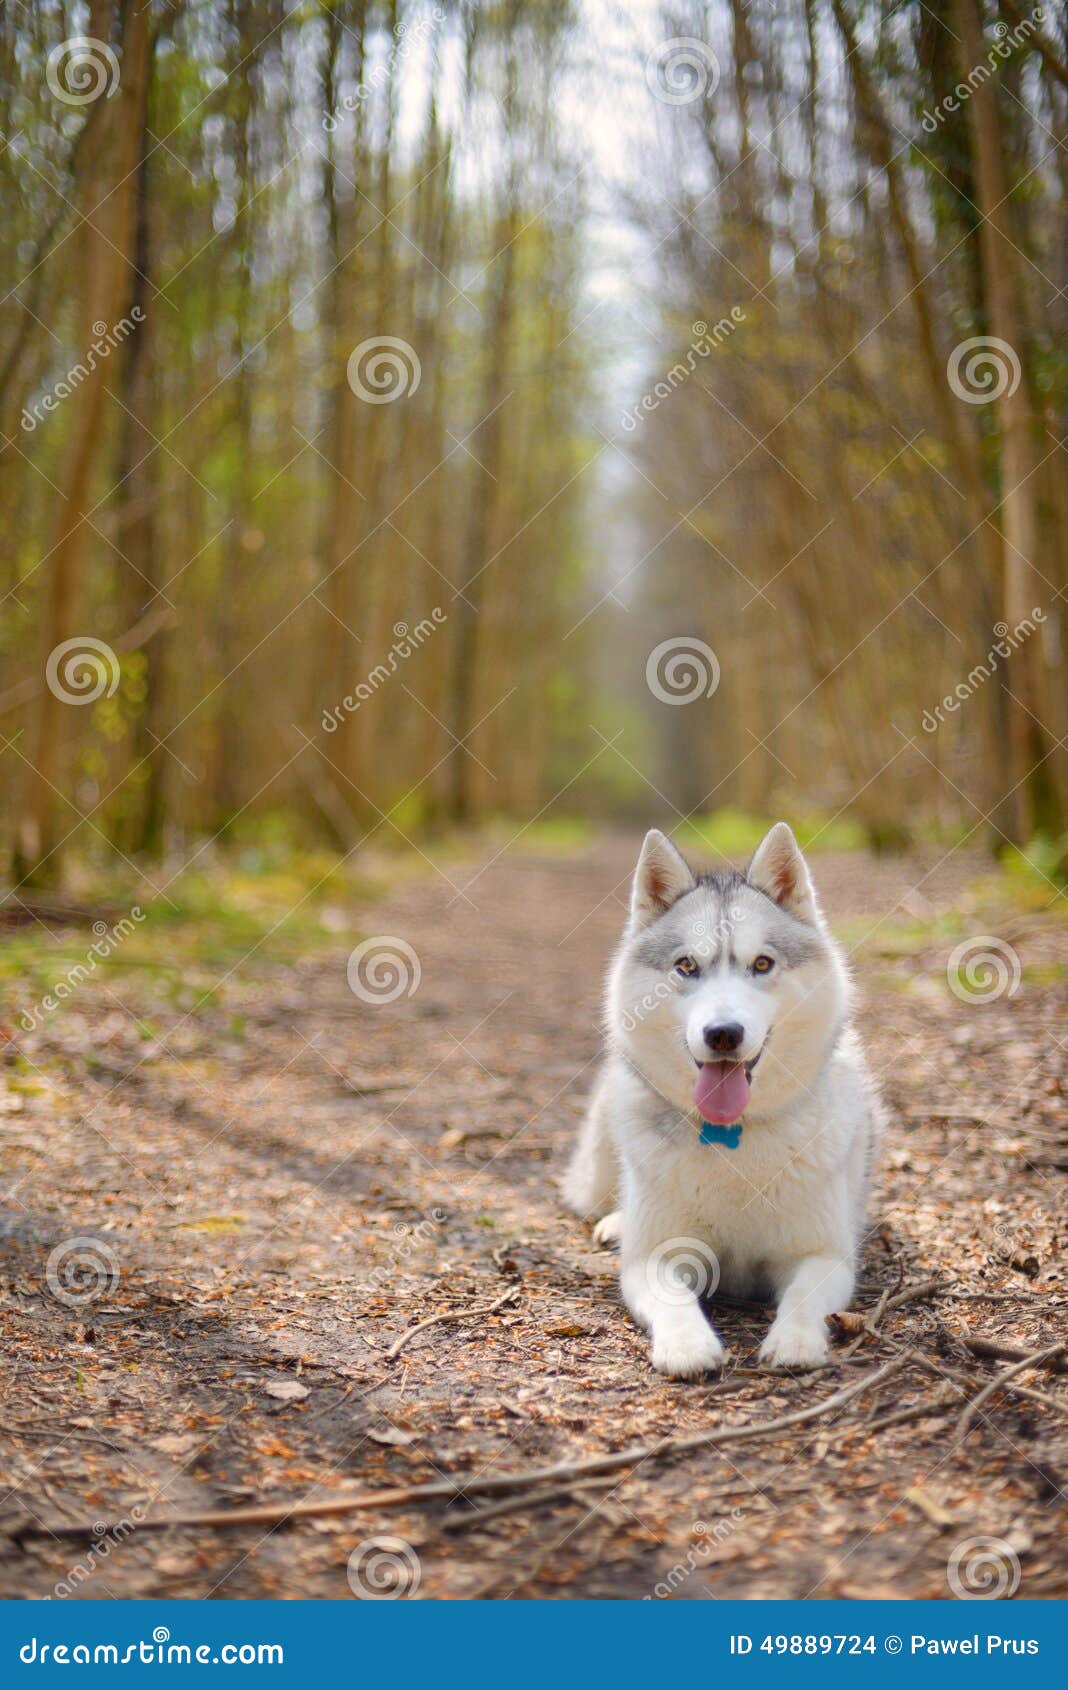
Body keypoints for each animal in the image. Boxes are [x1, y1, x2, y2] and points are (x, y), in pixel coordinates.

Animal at [564, 824, 878, 1379]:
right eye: (687, 965)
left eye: (762, 964)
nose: (724, 1033)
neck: (734, 1132)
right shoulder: (654, 1258)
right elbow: (671, 1295)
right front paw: (688, 1346)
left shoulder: (823, 1255)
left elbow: (803, 1296)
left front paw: (795, 1342)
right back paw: (614, 1220)